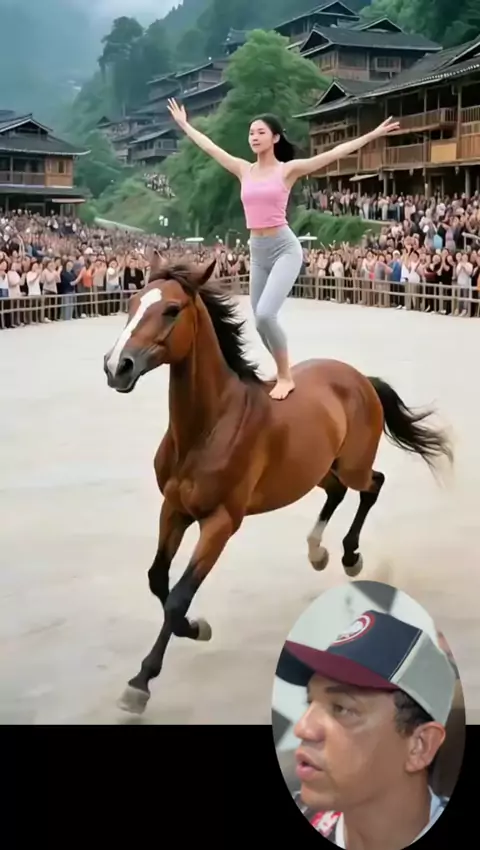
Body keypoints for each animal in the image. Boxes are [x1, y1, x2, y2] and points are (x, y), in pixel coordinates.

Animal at [103, 252, 453, 715]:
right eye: (132, 302)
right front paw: (194, 628)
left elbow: (179, 594)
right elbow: (159, 580)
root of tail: (359, 377)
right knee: (337, 492)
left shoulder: (221, 523)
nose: (116, 367)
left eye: (172, 310)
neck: (208, 427)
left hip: (352, 464)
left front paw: (141, 682)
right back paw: (318, 552)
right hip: (315, 470)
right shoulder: (174, 509)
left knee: (372, 485)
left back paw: (350, 557)